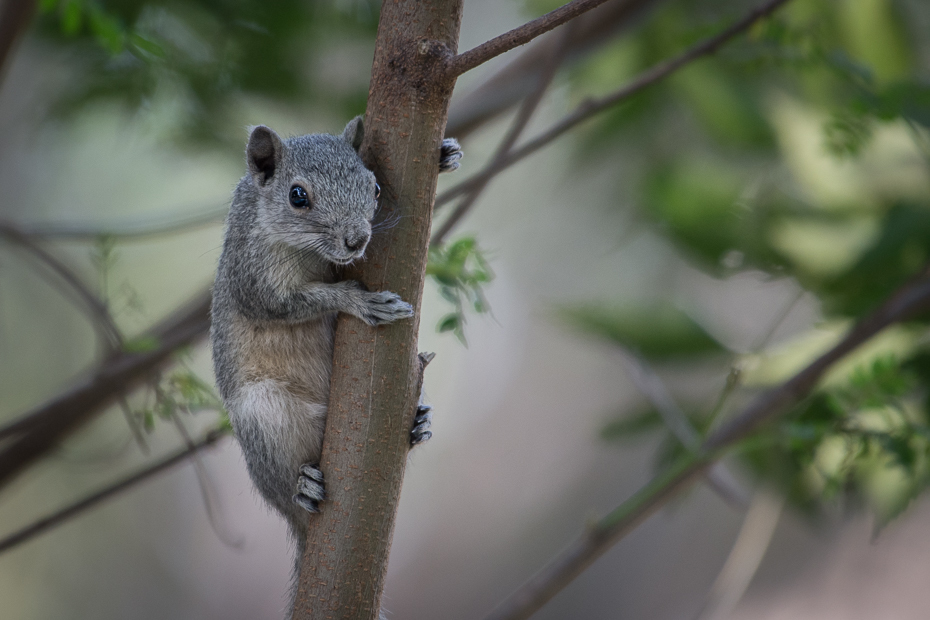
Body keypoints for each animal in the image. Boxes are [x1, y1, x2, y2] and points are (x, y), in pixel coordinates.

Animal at [208, 115, 460, 580]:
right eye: (298, 196)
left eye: (374, 186)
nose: (356, 240)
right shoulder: (252, 275)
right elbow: (294, 302)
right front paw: (360, 301)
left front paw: (446, 154)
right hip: (265, 414)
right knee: (284, 488)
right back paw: (302, 489)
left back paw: (420, 422)